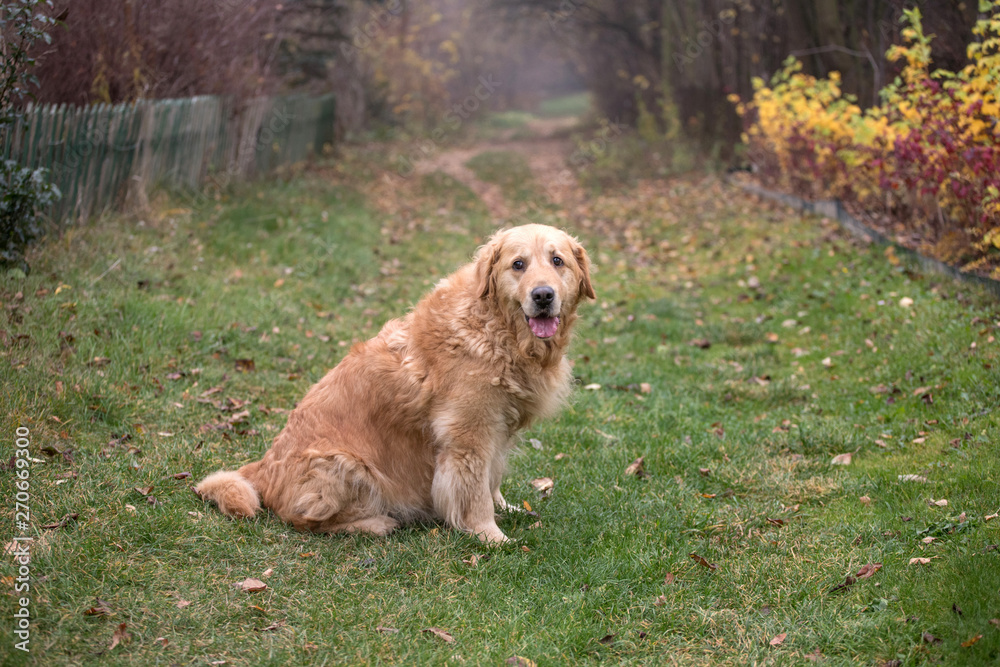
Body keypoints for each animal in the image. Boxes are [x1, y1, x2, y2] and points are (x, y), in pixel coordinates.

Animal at [197, 224, 592, 544]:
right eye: (518, 264)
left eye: (557, 261)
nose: (543, 295)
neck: (497, 330)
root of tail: (262, 467)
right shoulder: (468, 435)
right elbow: (474, 492)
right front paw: (489, 535)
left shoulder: (499, 428)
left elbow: (492, 478)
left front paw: (505, 508)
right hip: (345, 466)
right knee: (304, 520)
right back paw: (374, 523)